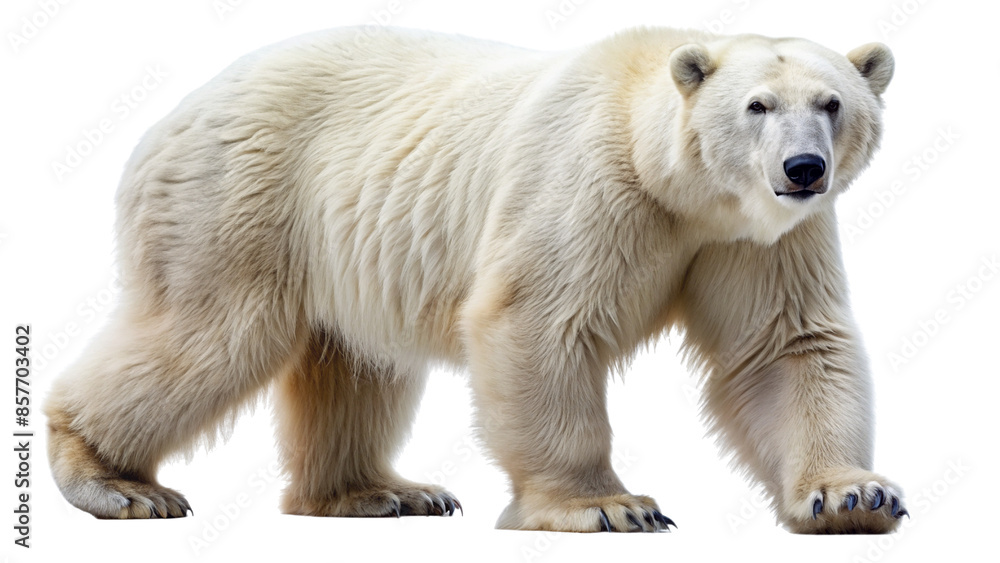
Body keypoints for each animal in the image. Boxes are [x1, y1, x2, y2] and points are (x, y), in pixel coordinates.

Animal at [45, 26, 905, 534]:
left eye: (833, 102)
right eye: (757, 106)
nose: (803, 167)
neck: (674, 180)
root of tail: (172, 114)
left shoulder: (756, 239)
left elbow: (783, 347)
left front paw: (852, 493)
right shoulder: (593, 186)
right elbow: (539, 319)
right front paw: (608, 503)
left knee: (353, 365)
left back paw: (381, 490)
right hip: (239, 201)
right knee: (208, 335)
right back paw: (115, 481)